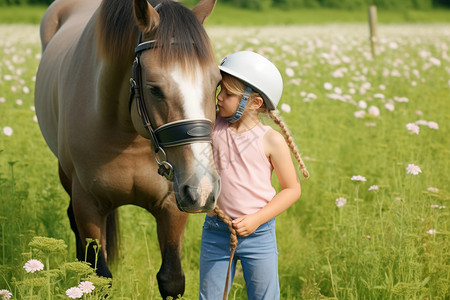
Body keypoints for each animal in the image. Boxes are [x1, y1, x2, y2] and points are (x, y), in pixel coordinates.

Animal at [34, 0, 221, 296]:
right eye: (154, 89)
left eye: (216, 84)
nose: (202, 189)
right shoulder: (88, 204)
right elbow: (99, 278)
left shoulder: (172, 206)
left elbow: (171, 278)